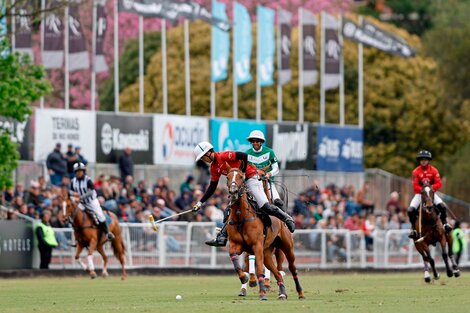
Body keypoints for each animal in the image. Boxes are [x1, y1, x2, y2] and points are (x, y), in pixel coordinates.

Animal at [225, 166, 304, 300]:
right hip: (267, 252)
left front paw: (262, 293)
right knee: (277, 272)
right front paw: (244, 277)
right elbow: (234, 256)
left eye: (241, 176)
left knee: (292, 268)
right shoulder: (237, 245)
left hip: (287, 247)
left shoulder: (257, 245)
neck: (241, 216)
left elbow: (259, 270)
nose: (233, 191)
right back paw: (282, 293)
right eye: (227, 177)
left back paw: (300, 292)